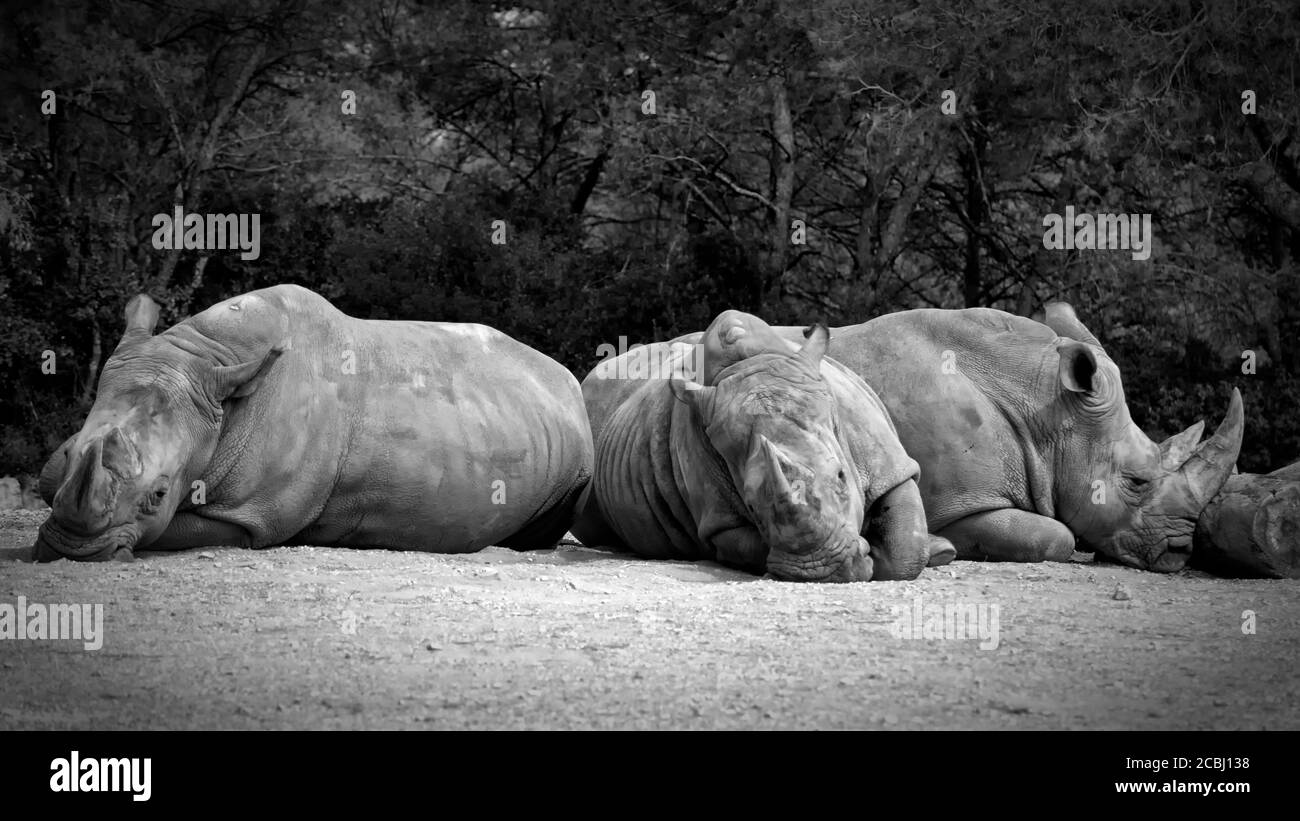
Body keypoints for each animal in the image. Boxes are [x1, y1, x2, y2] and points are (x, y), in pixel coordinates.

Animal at [34, 285, 595, 561]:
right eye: (69, 456)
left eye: (158, 494)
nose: (67, 552)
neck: (210, 360)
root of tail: (568, 382)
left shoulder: (256, 516)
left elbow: (176, 529)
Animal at [574, 309, 961, 584]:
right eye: (749, 503)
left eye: (841, 477)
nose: (821, 571)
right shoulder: (720, 521)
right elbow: (750, 544)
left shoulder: (887, 463)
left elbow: (905, 546)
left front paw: (890, 555)